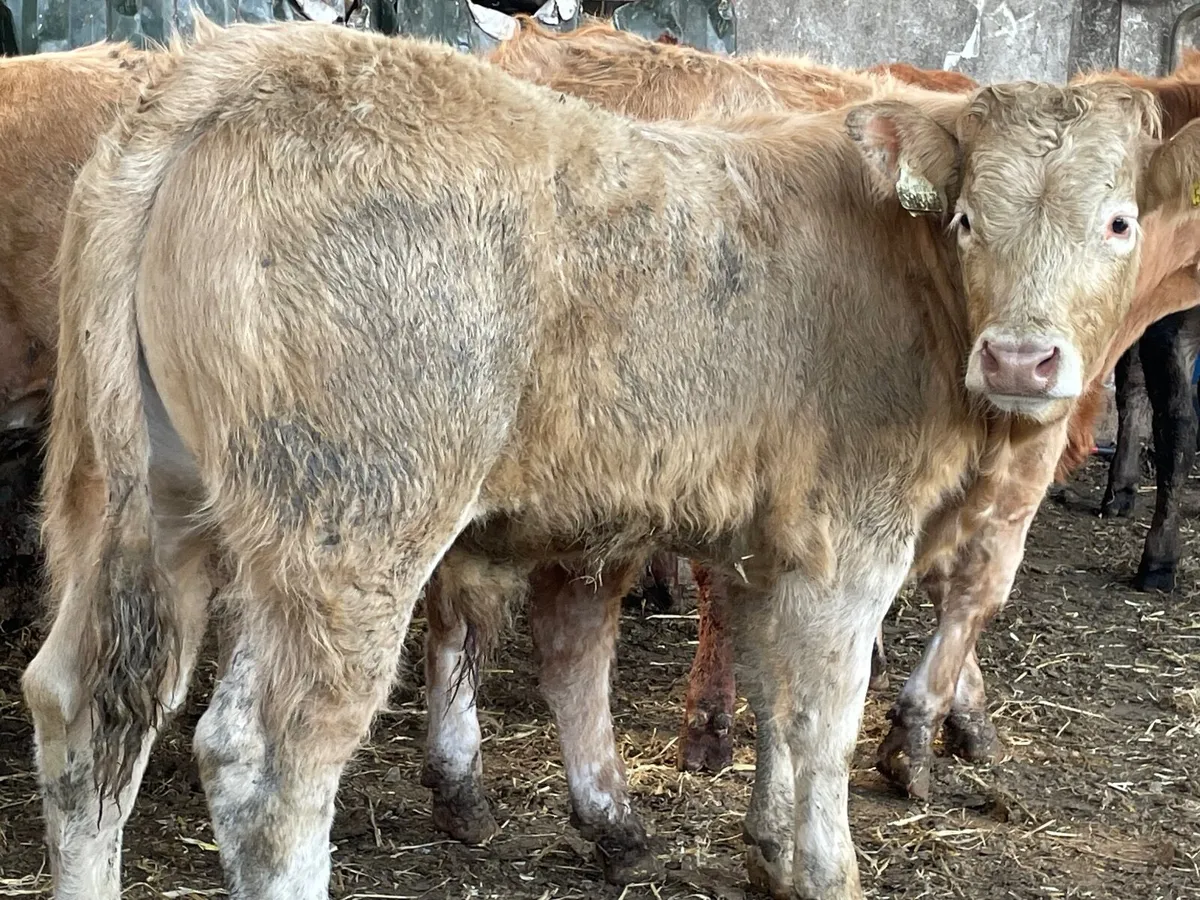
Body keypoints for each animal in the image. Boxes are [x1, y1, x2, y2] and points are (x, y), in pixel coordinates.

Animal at [23, 15, 1200, 900]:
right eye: (965, 219)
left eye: (1116, 221)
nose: (1022, 356)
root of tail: (226, 68)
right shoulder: (852, 542)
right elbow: (823, 715)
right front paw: (828, 867)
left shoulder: (765, 540)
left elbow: (769, 692)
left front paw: (767, 849)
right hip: (351, 524)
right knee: (268, 762)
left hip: (138, 495)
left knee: (82, 709)